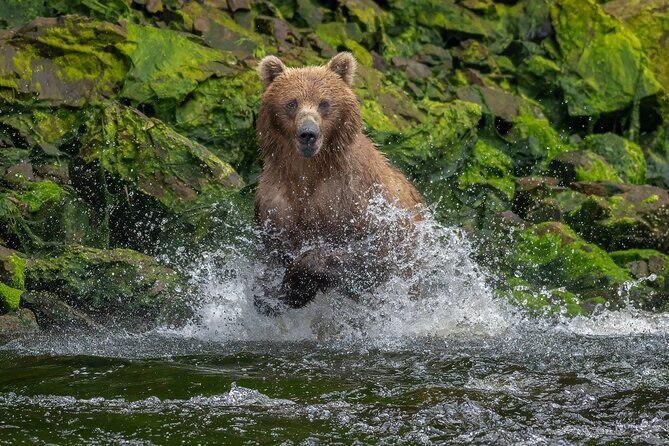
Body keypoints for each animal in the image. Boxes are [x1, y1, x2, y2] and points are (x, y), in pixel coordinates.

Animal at [254, 52, 424, 311]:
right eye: (292, 103)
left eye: (324, 103)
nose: (308, 134)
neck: (310, 172)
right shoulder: (275, 204)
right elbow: (271, 252)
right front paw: (271, 294)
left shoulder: (355, 197)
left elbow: (372, 255)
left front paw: (296, 283)